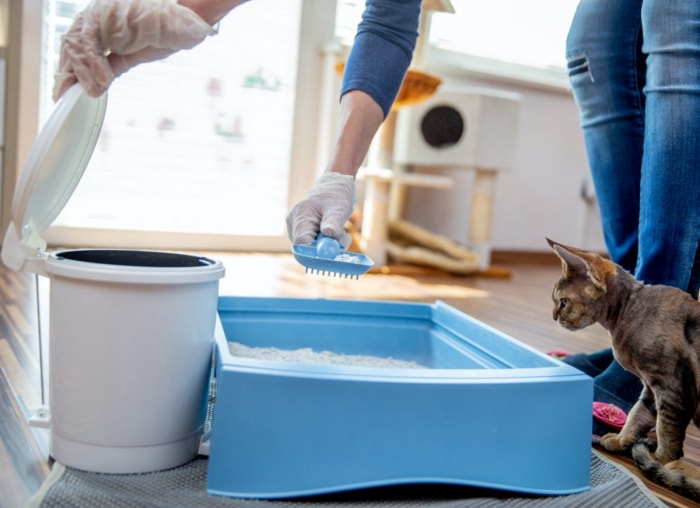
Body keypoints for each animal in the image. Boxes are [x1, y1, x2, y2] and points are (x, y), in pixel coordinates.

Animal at [548, 237, 700, 500]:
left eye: (563, 302)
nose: (554, 316)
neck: (629, 312)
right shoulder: (650, 387)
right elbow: (638, 413)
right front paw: (621, 440)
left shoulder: (672, 388)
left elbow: (667, 430)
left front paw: (660, 459)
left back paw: (680, 469)